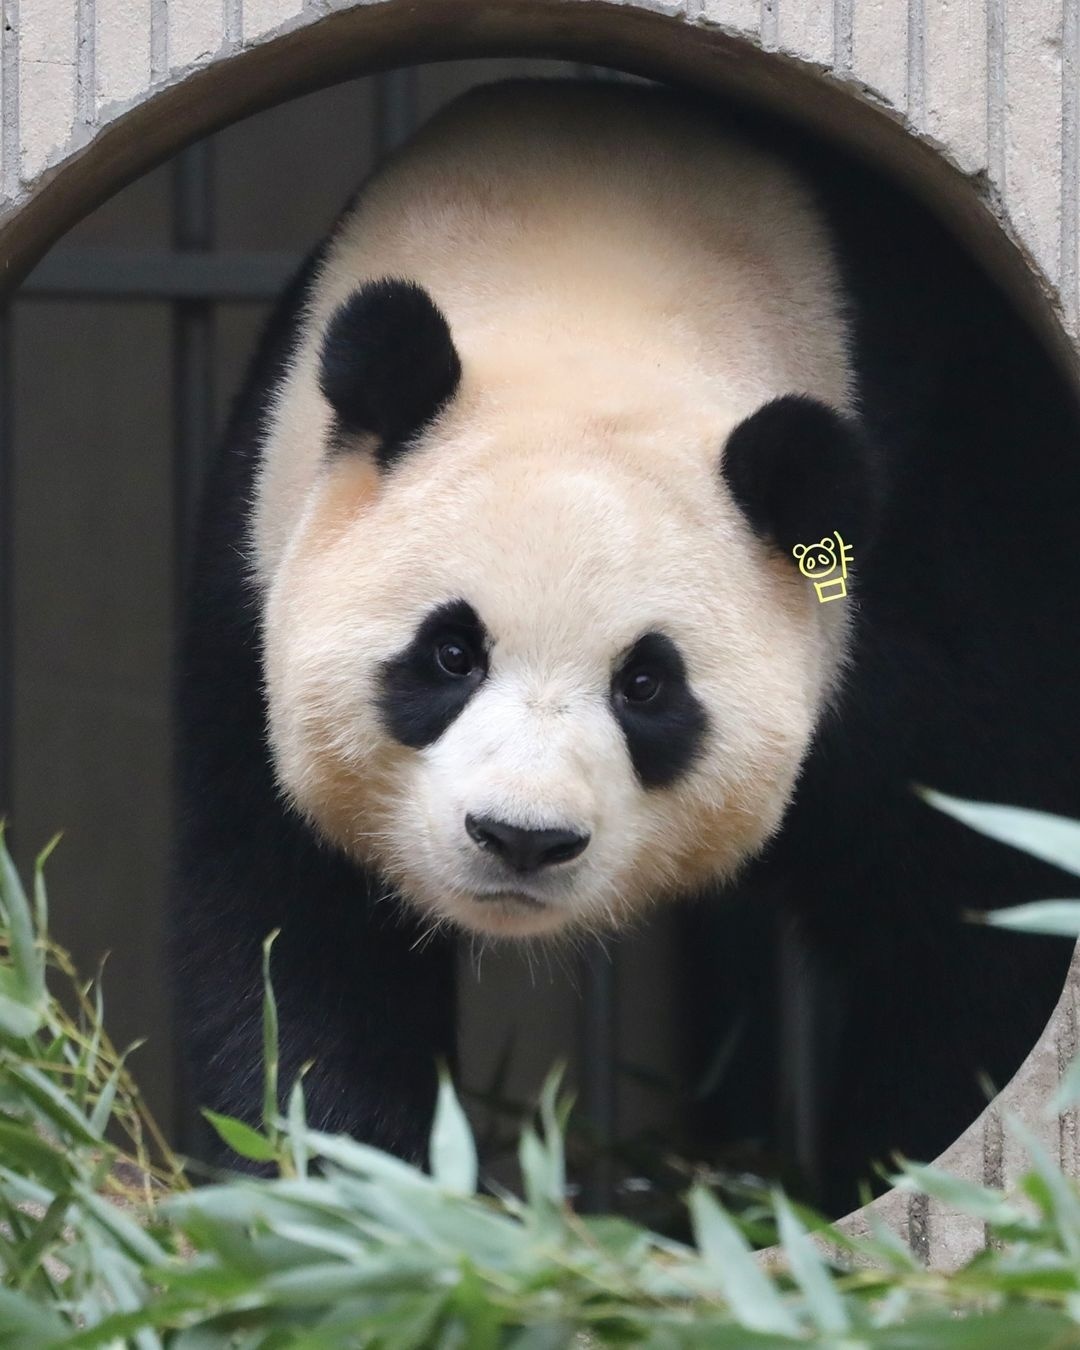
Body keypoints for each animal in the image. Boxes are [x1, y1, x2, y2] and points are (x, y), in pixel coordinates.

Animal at [172, 76, 1080, 1215]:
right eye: (451, 654)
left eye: (647, 685)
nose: (521, 838)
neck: (591, 293)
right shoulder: (255, 558)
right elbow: (291, 937)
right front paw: (345, 1194)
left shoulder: (940, 544)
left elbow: (973, 898)